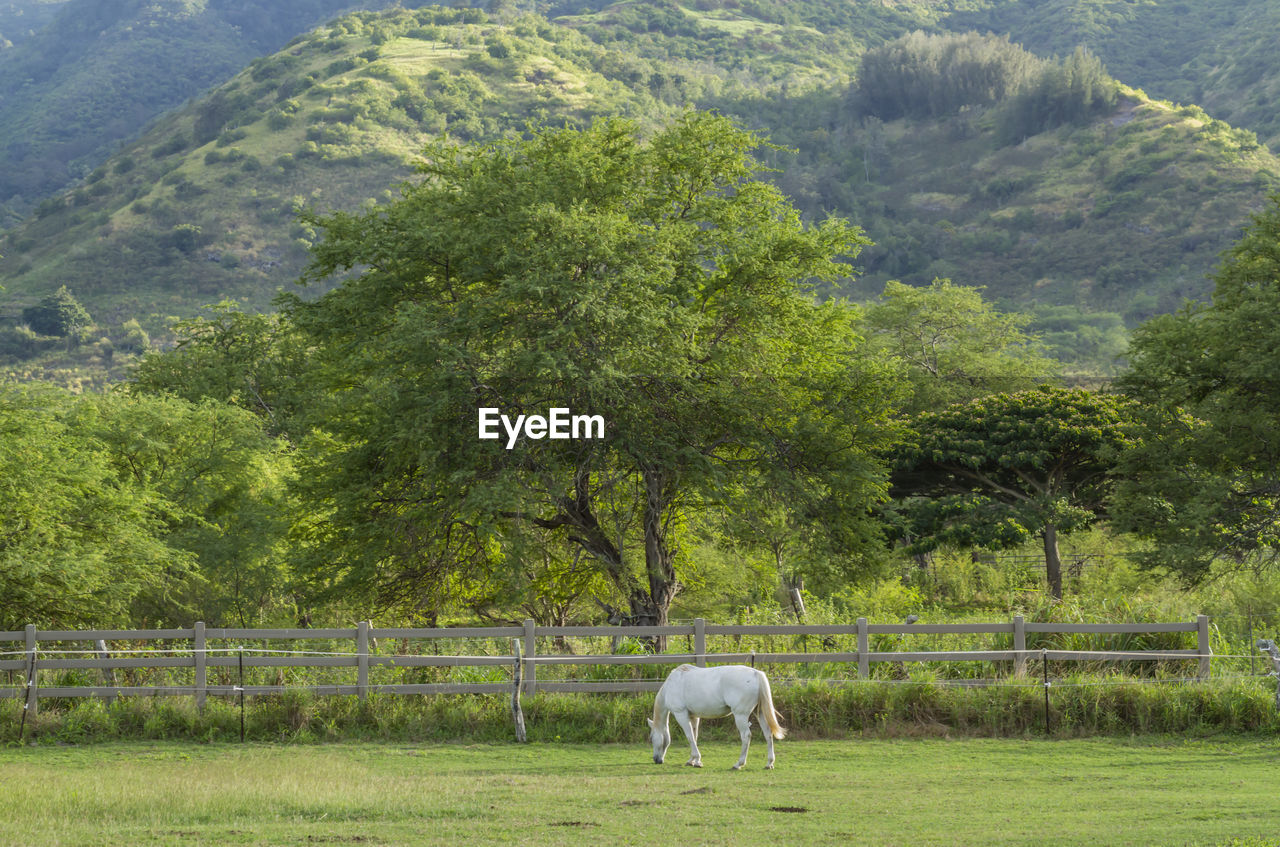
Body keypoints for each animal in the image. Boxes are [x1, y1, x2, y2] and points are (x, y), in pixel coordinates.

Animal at [645, 665, 783, 772]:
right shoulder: (694, 717)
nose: (656, 760)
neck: (672, 684)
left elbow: (689, 737)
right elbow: (694, 736)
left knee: (746, 736)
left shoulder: (681, 714)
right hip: (760, 713)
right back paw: (769, 763)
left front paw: (696, 760)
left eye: (651, 738)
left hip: (741, 715)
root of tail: (755, 673)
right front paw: (693, 761)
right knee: (768, 734)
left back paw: (738, 764)